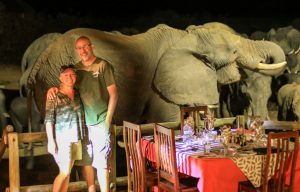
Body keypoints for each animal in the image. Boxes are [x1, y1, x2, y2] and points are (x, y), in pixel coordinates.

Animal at [27, 23, 286, 124]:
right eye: (233, 51)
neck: (188, 36)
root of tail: (37, 65)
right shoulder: (159, 87)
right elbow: (169, 123)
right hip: (56, 80)